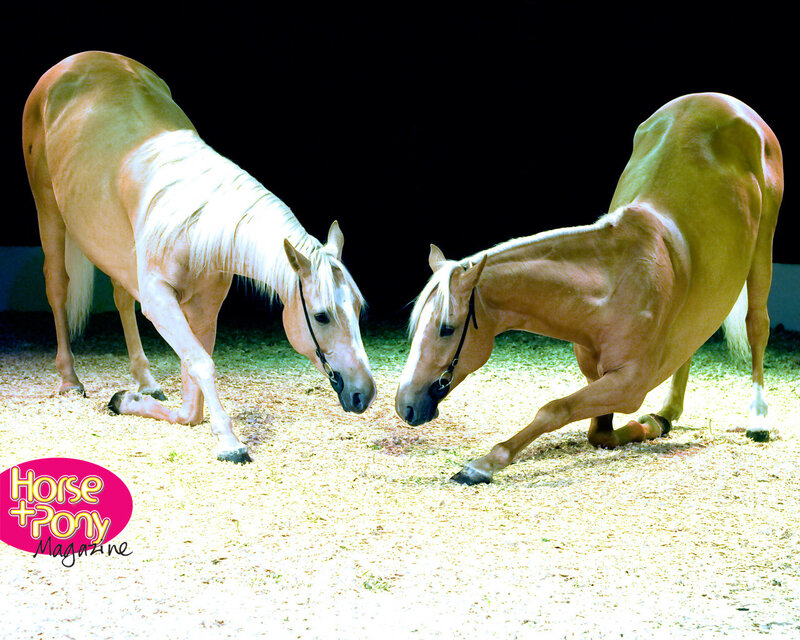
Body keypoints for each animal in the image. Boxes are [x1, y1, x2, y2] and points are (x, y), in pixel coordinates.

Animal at [23, 51, 375, 464]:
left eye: (358, 309)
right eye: (321, 316)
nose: (364, 393)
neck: (194, 220)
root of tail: (73, 62)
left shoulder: (204, 307)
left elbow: (192, 400)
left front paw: (127, 400)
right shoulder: (161, 301)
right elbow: (201, 365)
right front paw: (230, 442)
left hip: (114, 248)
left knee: (121, 298)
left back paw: (144, 381)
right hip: (48, 211)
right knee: (57, 287)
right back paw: (69, 379)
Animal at [396, 92, 783, 485]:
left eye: (446, 329)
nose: (404, 405)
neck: (611, 286)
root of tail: (722, 100)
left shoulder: (629, 383)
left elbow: (554, 409)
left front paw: (484, 463)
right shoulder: (598, 376)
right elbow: (599, 433)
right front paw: (649, 426)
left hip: (763, 247)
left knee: (757, 326)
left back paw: (759, 419)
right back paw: (668, 412)